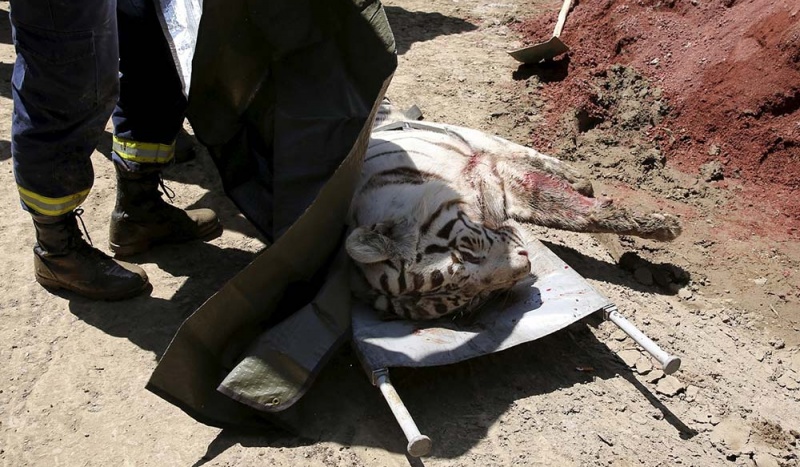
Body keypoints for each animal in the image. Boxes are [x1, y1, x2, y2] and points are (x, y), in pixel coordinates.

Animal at [345, 99, 682, 321]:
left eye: (468, 252)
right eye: (474, 299)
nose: (525, 267)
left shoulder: (488, 171)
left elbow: (573, 211)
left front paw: (662, 226)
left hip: (471, 138)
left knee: (521, 150)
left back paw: (578, 177)